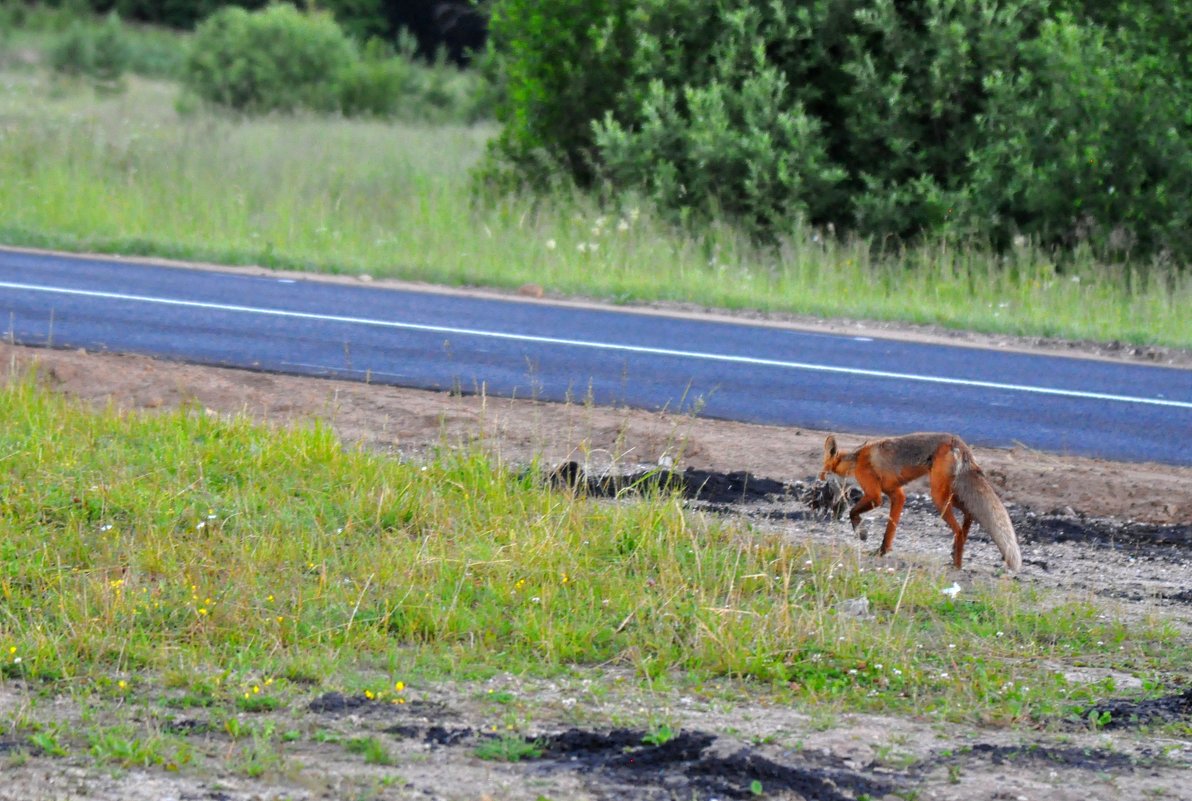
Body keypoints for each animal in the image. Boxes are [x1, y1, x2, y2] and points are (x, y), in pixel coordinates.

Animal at [820, 431, 1025, 569]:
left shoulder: (875, 495)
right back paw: (955, 553)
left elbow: (853, 512)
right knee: (970, 513)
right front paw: (882, 551)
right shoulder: (897, 495)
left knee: (959, 529)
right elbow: (890, 531)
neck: (856, 459)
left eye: (823, 469)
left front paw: (861, 532)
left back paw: (957, 565)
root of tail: (957, 441)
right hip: (949, 494)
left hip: (939, 497)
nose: (819, 479)